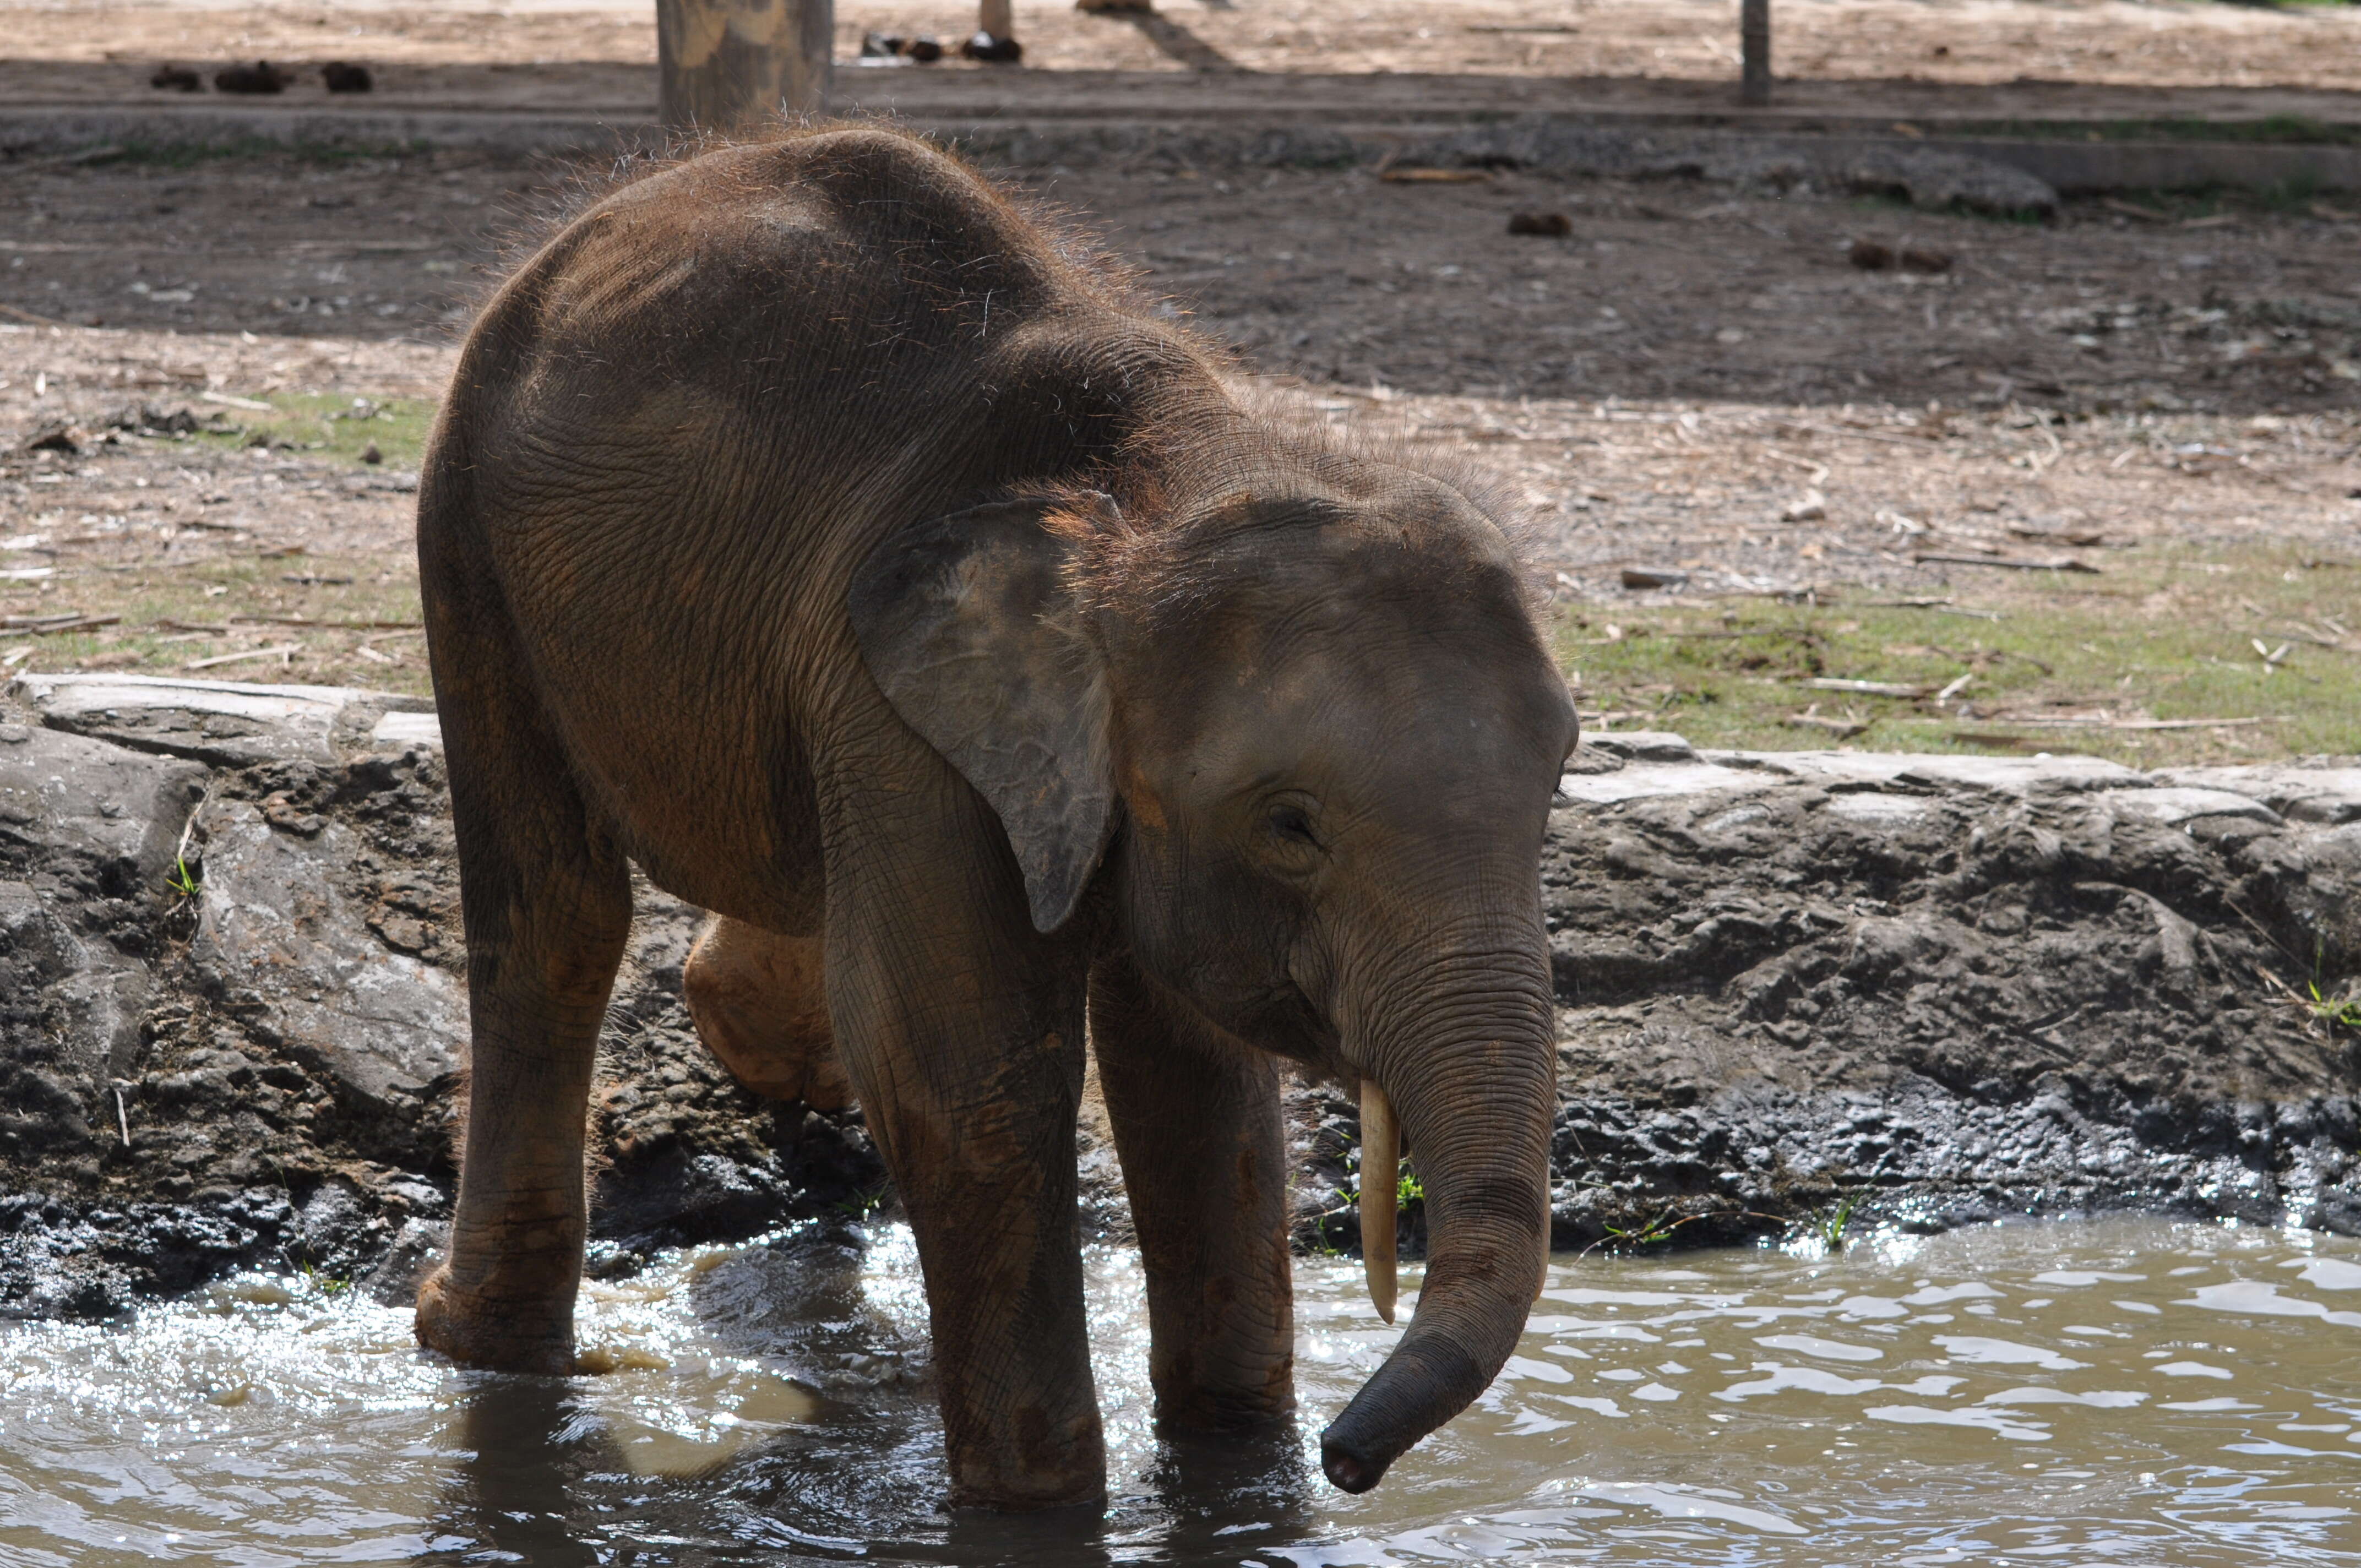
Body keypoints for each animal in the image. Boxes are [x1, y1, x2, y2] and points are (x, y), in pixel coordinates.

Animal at [415, 128, 1577, 1511]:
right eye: (1292, 824)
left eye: (1555, 789)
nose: (1348, 1460)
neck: (1157, 478)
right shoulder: (896, 720)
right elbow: (959, 1064)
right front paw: (1041, 1502)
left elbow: (1196, 1081)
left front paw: (1238, 1464)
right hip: (467, 527)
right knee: (554, 917)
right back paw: (475, 1343)